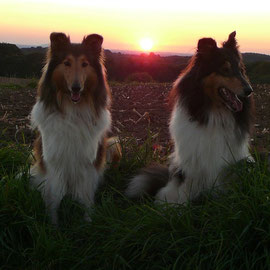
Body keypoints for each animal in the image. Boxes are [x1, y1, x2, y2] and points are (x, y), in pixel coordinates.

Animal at [30, 32, 121, 225]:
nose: (76, 88)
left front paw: (88, 222)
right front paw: (53, 225)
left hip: (113, 144)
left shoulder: (87, 161)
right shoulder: (54, 160)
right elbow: (54, 197)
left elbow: (86, 197)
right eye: (67, 63)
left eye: (85, 64)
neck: (73, 110)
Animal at [125, 31, 254, 204]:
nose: (249, 90)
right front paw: (176, 205)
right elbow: (186, 187)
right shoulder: (192, 159)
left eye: (240, 70)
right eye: (225, 69)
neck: (215, 111)